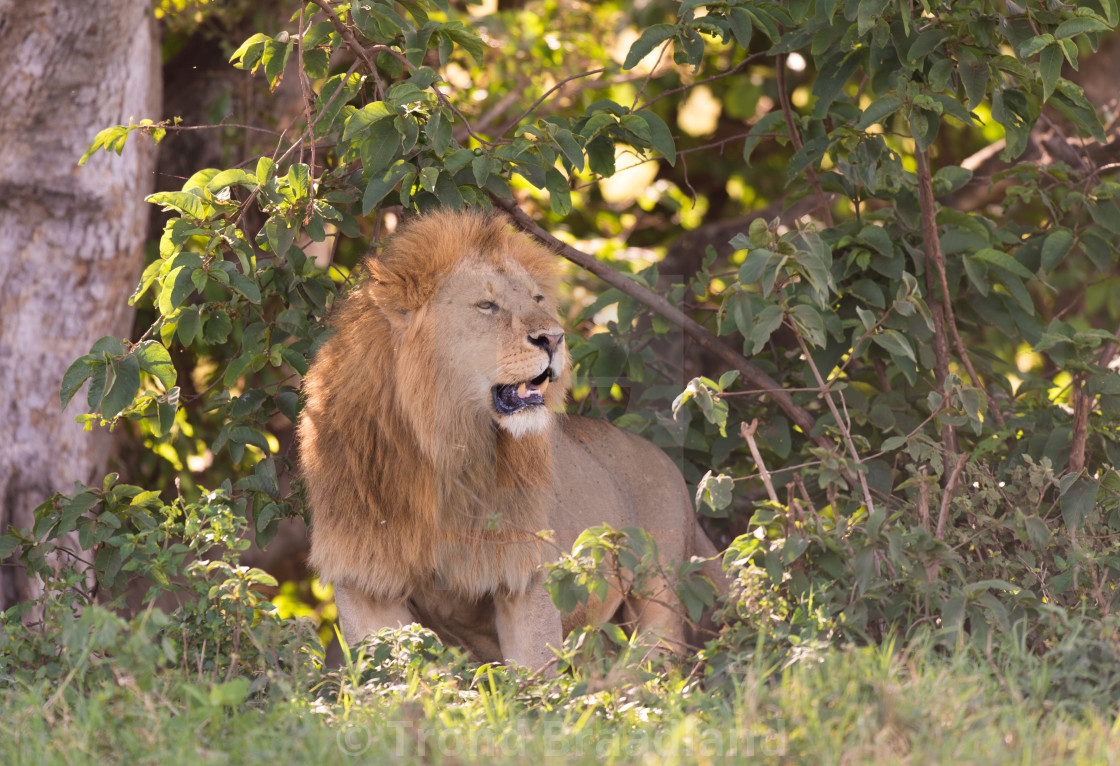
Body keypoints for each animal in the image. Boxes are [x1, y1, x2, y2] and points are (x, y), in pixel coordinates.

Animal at [300, 209, 716, 671]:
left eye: (537, 300)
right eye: (487, 305)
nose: (554, 338)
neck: (442, 445)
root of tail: (666, 461)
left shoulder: (525, 575)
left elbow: (533, 678)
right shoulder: (365, 580)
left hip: (660, 597)